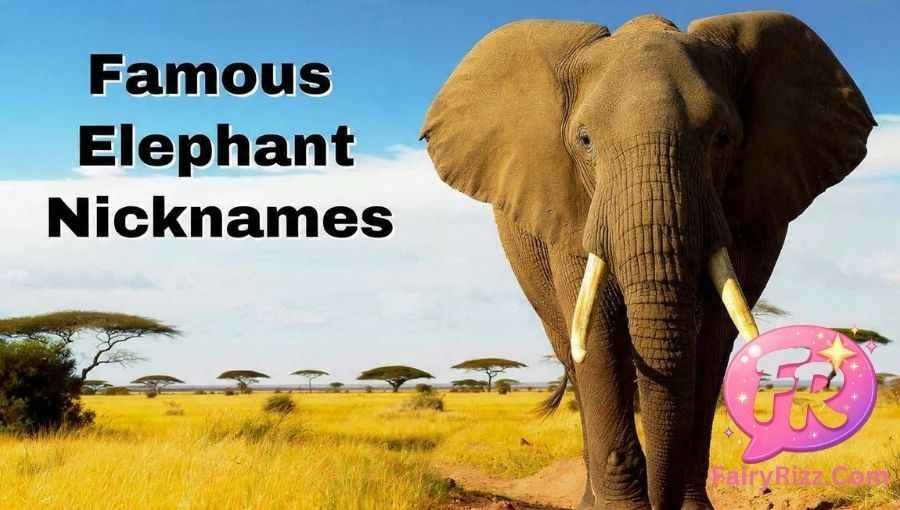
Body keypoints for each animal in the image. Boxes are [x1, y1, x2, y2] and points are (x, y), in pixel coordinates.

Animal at [420, 11, 874, 510]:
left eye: (722, 138)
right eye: (584, 140)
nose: (661, 500)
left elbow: (713, 336)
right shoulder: (570, 206)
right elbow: (598, 334)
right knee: (573, 355)